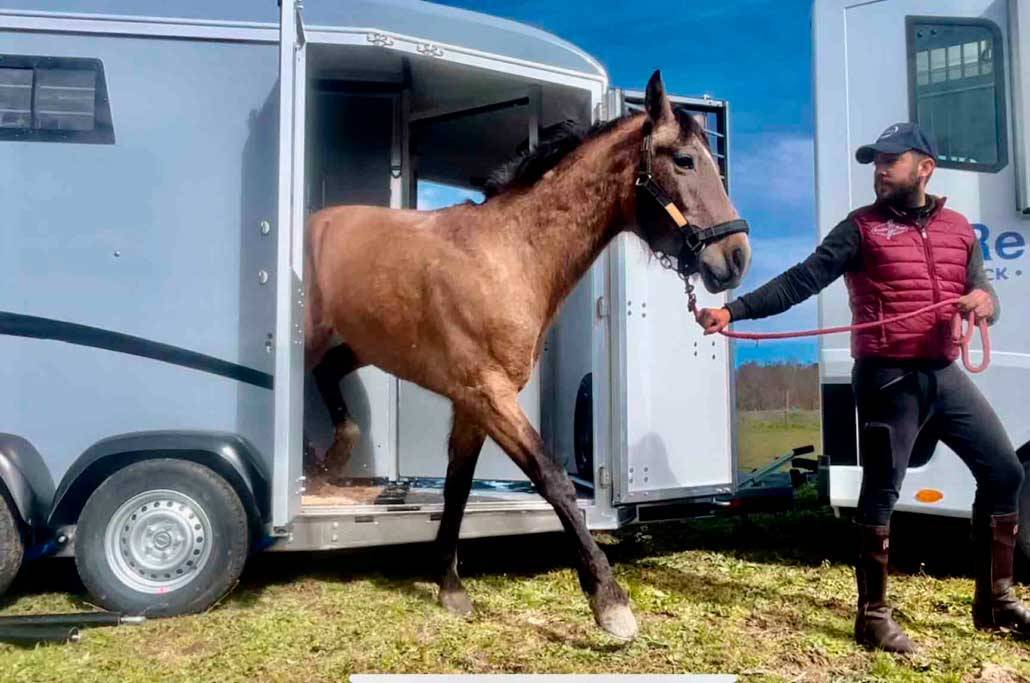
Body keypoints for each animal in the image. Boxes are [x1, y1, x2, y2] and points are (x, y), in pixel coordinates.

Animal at [302, 70, 751, 641]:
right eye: (685, 160)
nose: (736, 258)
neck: (509, 256)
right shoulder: (489, 394)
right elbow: (552, 479)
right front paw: (610, 602)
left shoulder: (473, 402)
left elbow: (458, 486)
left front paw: (449, 585)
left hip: (362, 344)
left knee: (328, 373)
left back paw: (333, 456)